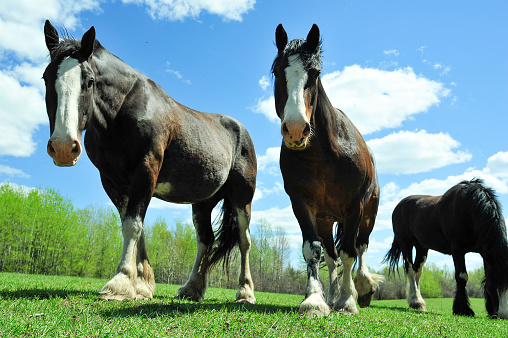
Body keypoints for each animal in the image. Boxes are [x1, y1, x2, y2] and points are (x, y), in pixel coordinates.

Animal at [42, 19, 258, 302]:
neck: (122, 110)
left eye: (89, 81)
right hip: (202, 202)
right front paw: (142, 284)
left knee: (244, 240)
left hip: (242, 198)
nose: (64, 147)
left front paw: (121, 282)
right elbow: (134, 225)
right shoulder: (114, 182)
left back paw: (245, 291)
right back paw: (192, 288)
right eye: (46, 78)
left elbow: (133, 225)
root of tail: (240, 130)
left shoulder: (145, 171)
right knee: (205, 240)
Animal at [274, 24, 380, 316]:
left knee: (360, 247)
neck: (323, 156)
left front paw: (347, 300)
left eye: (315, 73)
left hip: (368, 215)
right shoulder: (301, 203)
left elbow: (349, 252)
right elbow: (313, 250)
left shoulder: (354, 207)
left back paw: (360, 287)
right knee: (331, 257)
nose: (295, 129)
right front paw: (315, 300)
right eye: (277, 72)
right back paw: (331, 295)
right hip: (324, 219)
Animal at [384, 178, 508, 318]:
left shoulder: (484, 252)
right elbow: (462, 277)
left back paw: (418, 303)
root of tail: (398, 206)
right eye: (496, 280)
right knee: (410, 270)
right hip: (406, 243)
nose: (503, 314)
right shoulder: (457, 250)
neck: (468, 209)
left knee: (417, 271)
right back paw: (416, 302)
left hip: (421, 247)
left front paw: (490, 309)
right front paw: (463, 310)